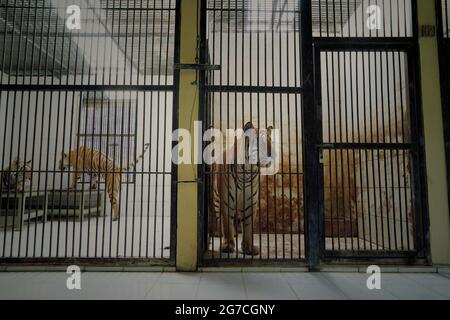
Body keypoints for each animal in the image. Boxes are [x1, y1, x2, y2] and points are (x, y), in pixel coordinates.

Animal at [208, 121, 274, 256]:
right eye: (261, 143)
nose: (273, 155)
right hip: (216, 200)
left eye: (271, 142)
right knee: (219, 219)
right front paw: (228, 245)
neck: (247, 171)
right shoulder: (226, 201)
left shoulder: (250, 202)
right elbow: (227, 224)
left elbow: (248, 226)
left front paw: (249, 248)